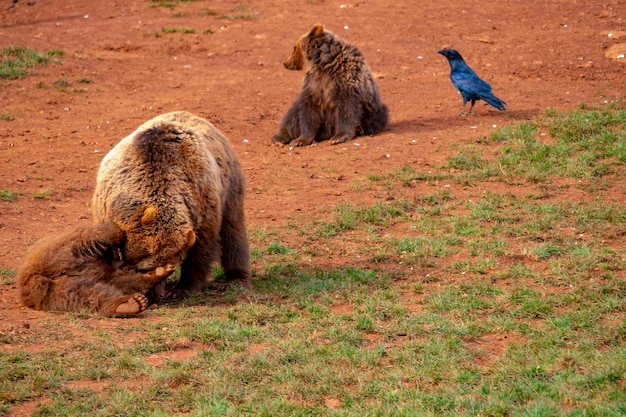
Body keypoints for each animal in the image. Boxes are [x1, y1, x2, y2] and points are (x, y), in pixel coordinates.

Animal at [17, 221, 173, 316]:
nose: (161, 295)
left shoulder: (109, 275)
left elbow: (128, 282)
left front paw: (160, 272)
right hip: (62, 251)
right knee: (89, 236)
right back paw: (116, 232)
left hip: (62, 292)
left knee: (92, 297)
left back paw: (130, 303)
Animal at [91, 110, 251, 298]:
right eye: (142, 268)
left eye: (167, 269)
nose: (154, 295)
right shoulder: (106, 206)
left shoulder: (202, 202)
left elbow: (201, 250)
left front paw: (183, 288)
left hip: (230, 186)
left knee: (232, 230)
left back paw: (235, 280)